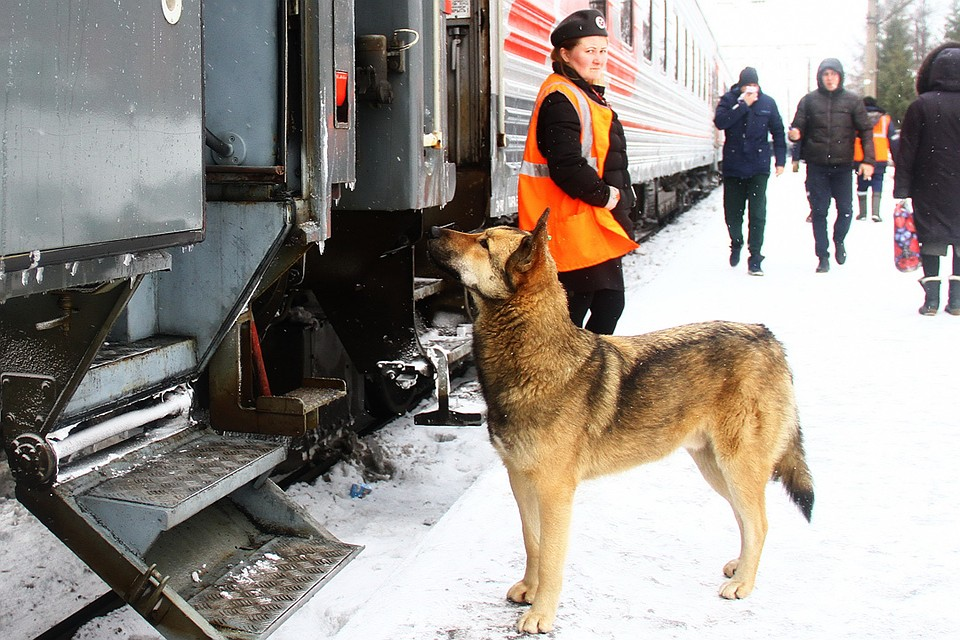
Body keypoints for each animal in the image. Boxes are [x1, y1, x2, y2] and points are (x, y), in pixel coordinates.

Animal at [428, 212, 808, 632]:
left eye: (484, 243)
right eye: (479, 234)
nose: (432, 229)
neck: (533, 360)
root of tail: (766, 335)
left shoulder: (555, 491)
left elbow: (553, 557)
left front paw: (541, 614)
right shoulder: (520, 479)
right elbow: (532, 542)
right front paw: (529, 589)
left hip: (736, 466)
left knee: (760, 523)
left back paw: (743, 583)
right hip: (715, 468)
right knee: (746, 519)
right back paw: (739, 568)